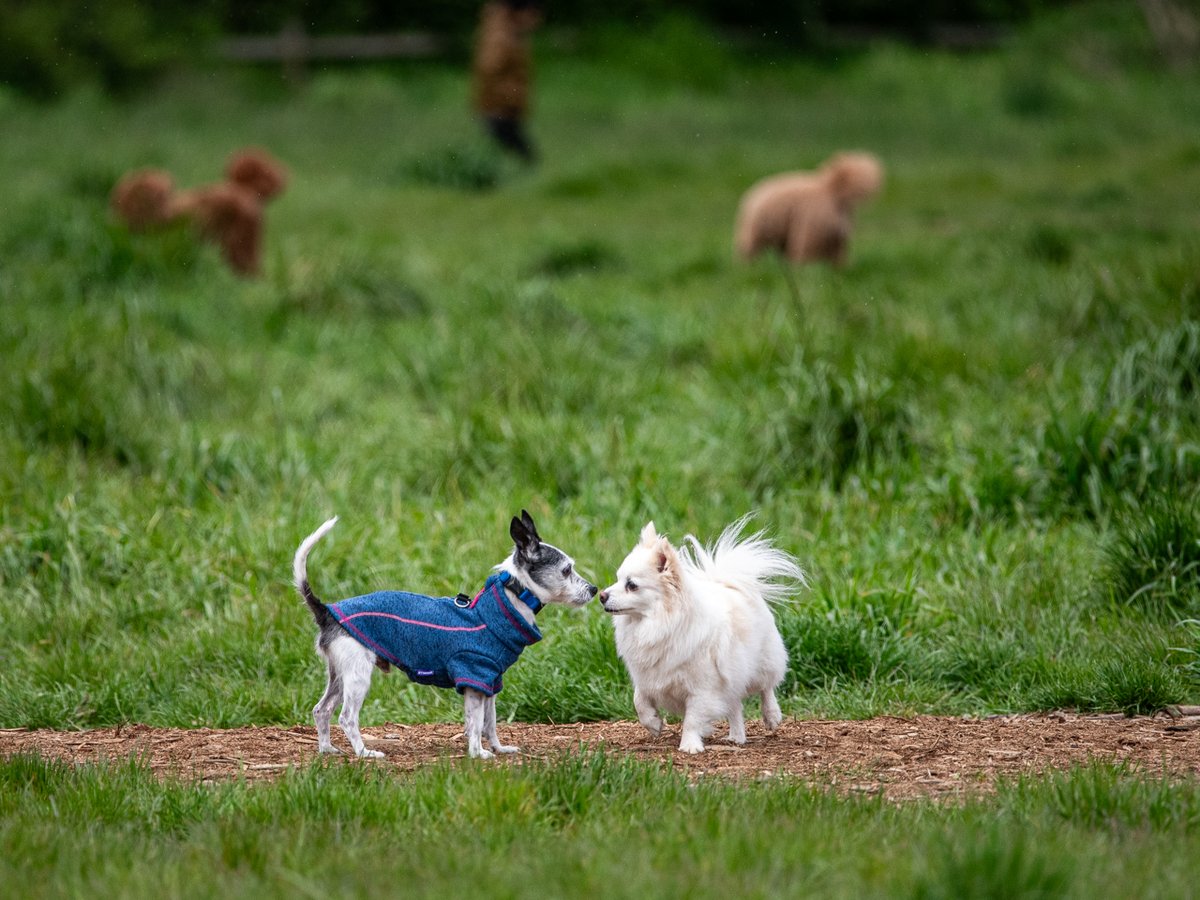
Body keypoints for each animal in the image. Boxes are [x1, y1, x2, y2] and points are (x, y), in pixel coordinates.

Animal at [290, 513, 590, 763]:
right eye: (566, 570)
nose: (593, 588)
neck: (509, 600)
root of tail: (326, 611)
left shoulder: (489, 682)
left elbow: (489, 723)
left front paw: (497, 748)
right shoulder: (474, 678)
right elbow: (476, 723)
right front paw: (478, 753)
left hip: (340, 675)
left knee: (321, 710)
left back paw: (327, 749)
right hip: (358, 675)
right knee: (347, 717)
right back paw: (364, 752)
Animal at [600, 518, 806, 758]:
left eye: (631, 585)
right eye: (617, 579)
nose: (602, 595)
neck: (656, 625)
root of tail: (726, 581)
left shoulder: (702, 690)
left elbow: (692, 719)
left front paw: (689, 745)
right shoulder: (649, 677)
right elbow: (639, 699)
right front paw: (653, 723)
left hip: (761, 665)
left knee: (766, 688)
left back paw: (771, 716)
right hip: (731, 676)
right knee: (735, 705)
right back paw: (737, 737)